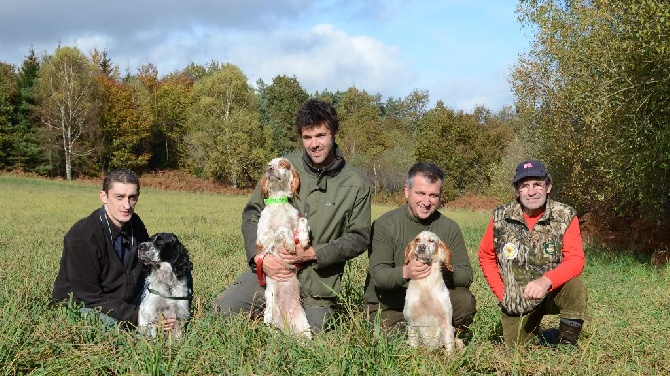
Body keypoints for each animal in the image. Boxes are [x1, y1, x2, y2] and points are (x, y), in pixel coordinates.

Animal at [258, 157, 312, 340]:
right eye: (269, 164)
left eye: (283, 164)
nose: (269, 169)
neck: (279, 202)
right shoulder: (261, 239)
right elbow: (282, 228)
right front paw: (289, 242)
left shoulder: (297, 218)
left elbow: (303, 220)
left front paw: (304, 238)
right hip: (269, 321)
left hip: (304, 329)